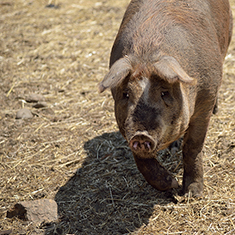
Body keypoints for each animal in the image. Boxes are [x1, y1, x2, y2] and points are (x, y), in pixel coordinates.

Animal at [98, 0, 232, 196]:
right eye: (126, 94)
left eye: (164, 93)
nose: (141, 135)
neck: (145, 54)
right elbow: (142, 161)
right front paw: (172, 185)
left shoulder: (206, 98)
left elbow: (192, 146)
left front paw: (192, 193)